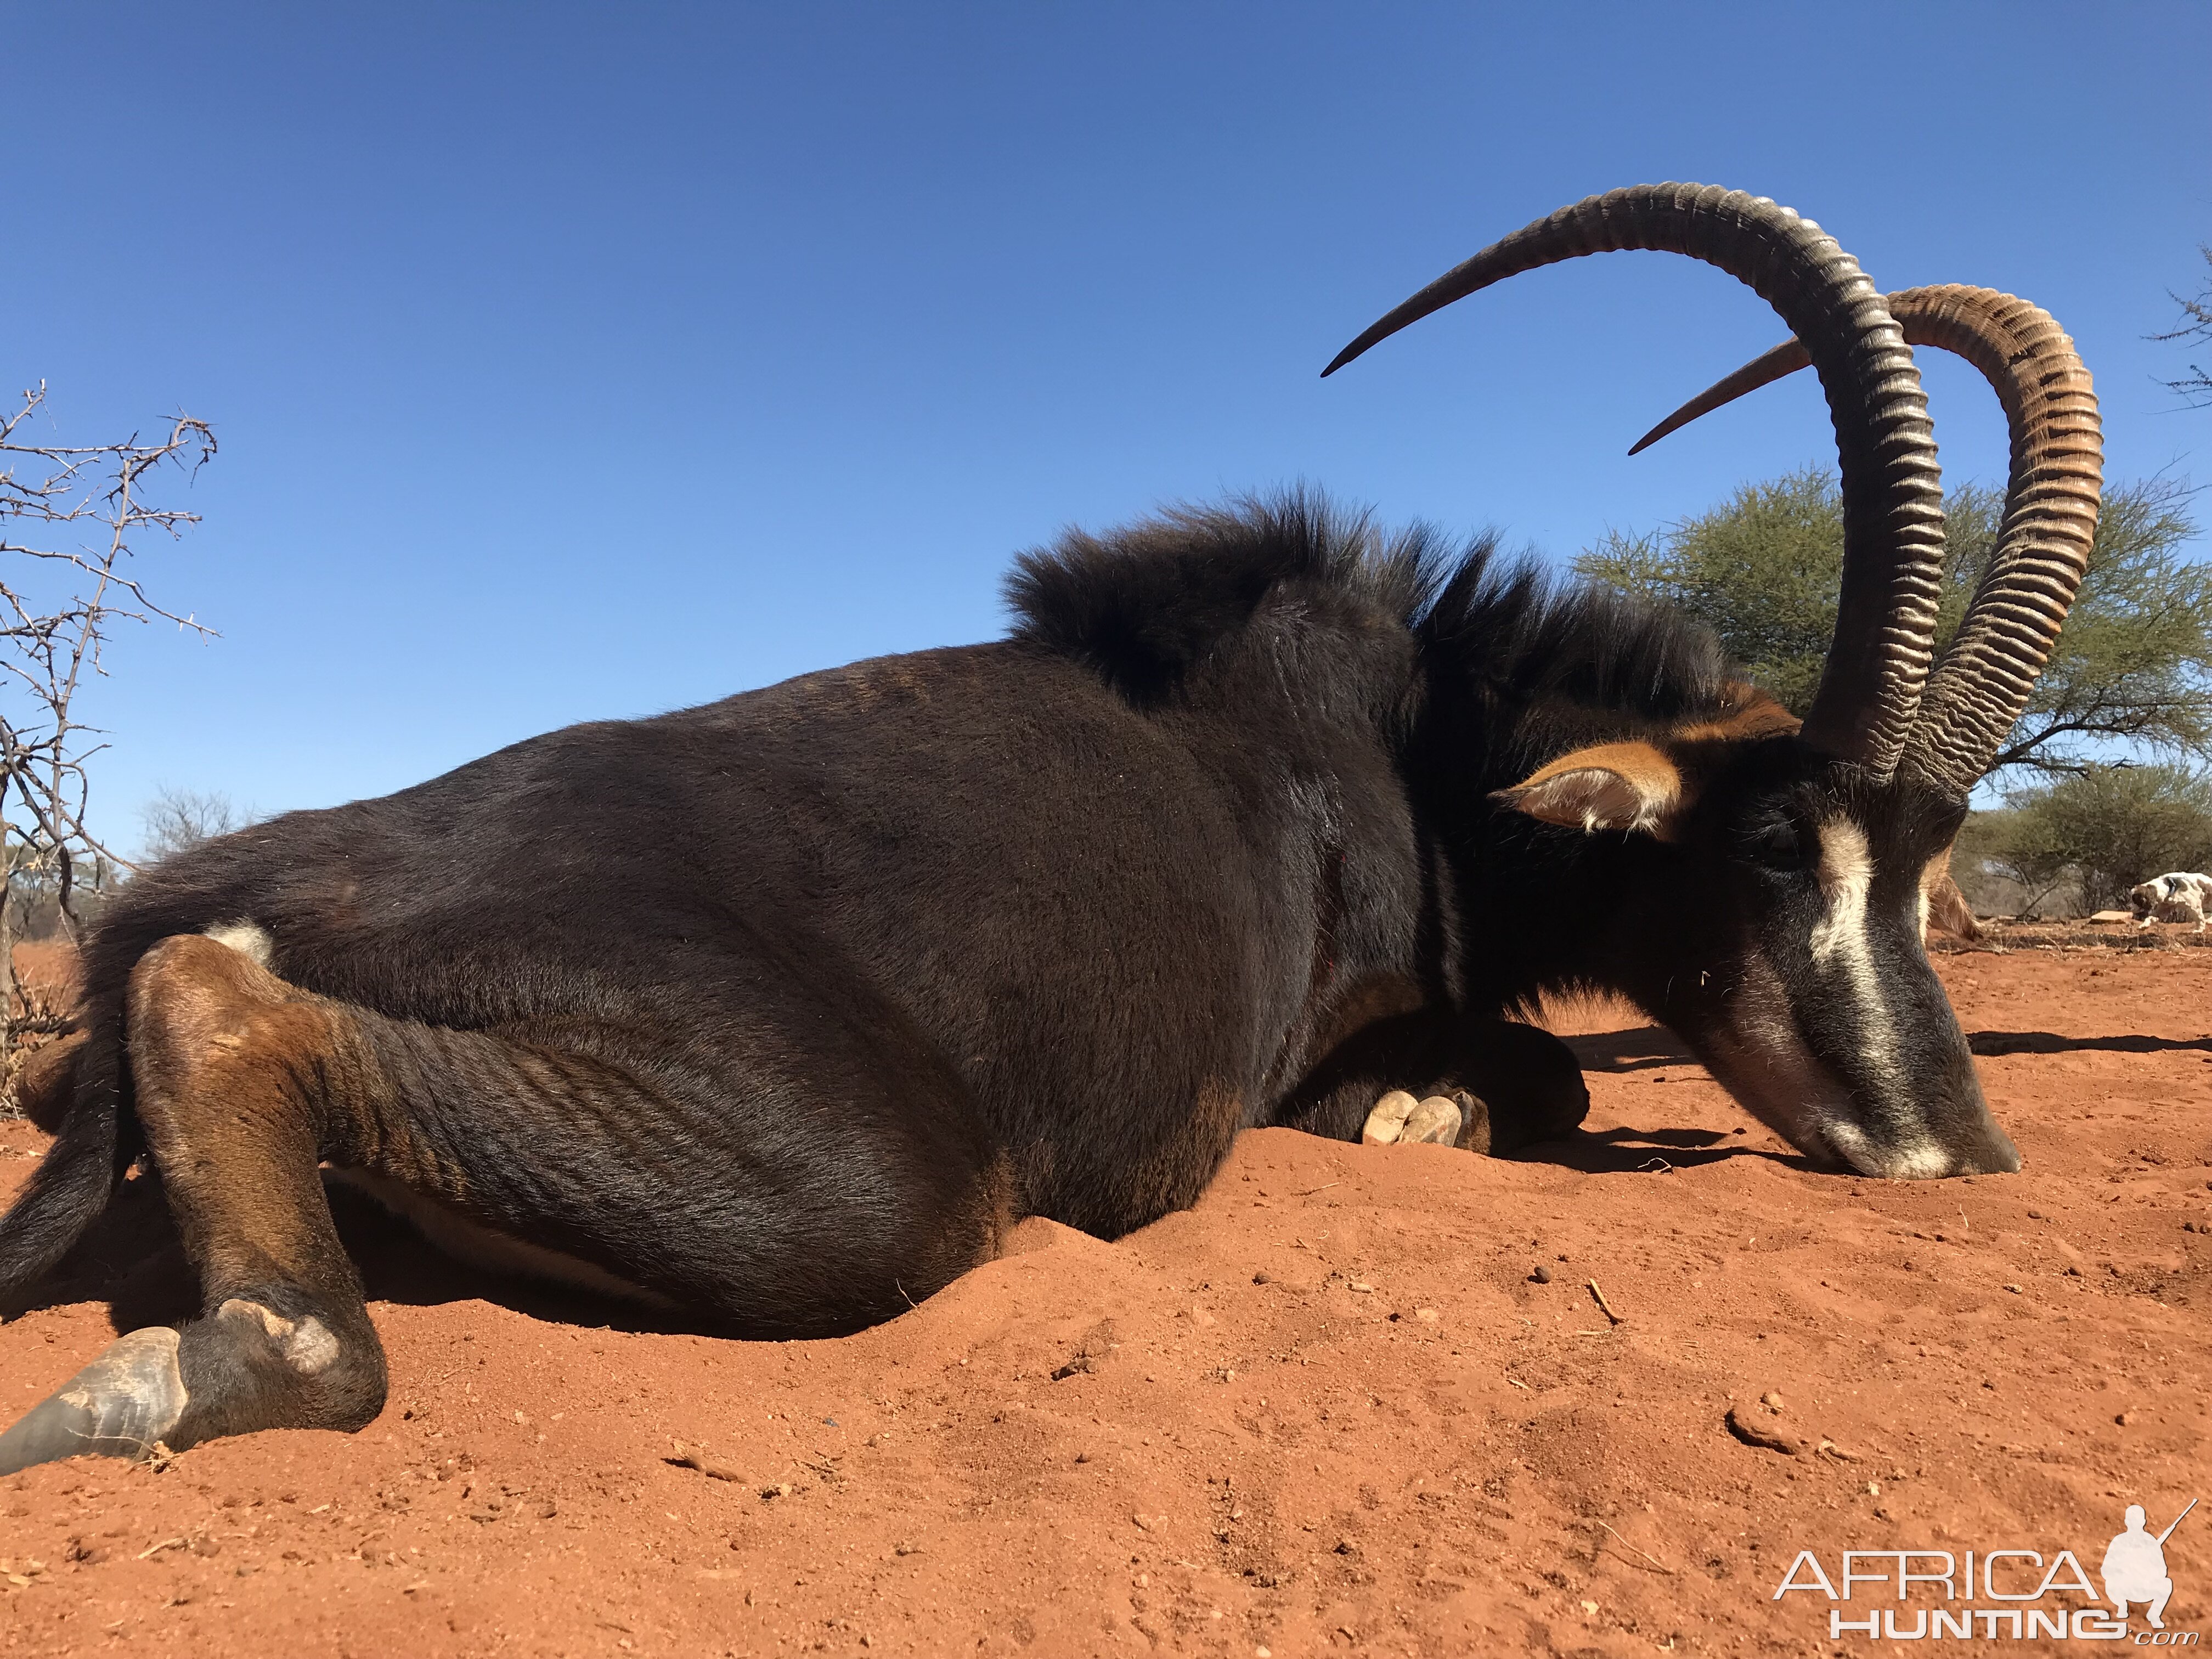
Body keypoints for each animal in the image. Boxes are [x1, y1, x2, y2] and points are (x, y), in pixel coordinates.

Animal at [0, 188, 2097, 1477]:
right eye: (1776, 852)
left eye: (1933, 862)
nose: (1961, 1154)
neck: (1408, 761)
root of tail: (232, 866)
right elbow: (1519, 1074)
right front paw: (1426, 1111)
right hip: (863, 1170)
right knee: (239, 1047)